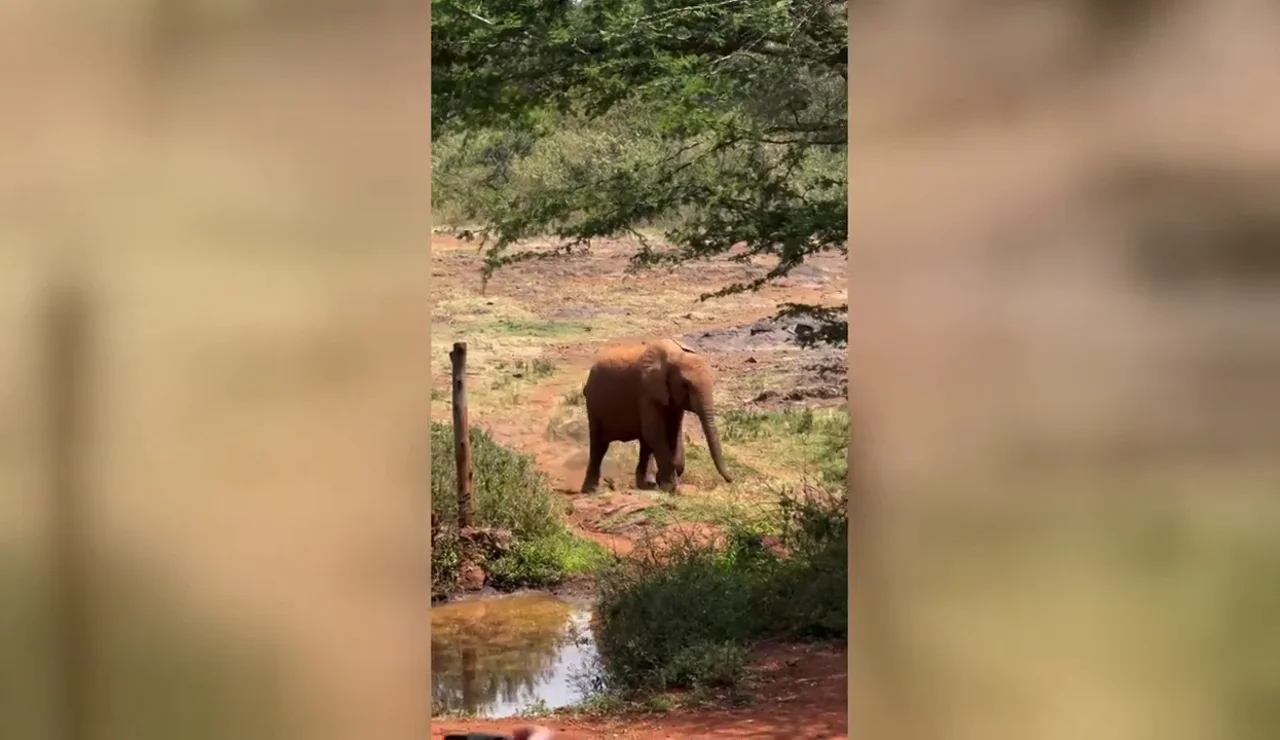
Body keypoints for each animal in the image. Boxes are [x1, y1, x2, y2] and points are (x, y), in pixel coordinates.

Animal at [579, 337, 733, 493]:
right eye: (685, 386)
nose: (730, 480)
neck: (675, 356)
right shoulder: (647, 393)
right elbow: (655, 433)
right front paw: (670, 487)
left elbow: (671, 433)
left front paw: (669, 478)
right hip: (593, 403)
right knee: (599, 445)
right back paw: (591, 490)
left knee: (644, 444)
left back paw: (646, 485)